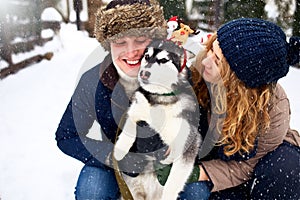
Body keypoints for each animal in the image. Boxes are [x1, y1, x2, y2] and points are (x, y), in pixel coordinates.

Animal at [113, 39, 203, 199]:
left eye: (163, 60)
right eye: (147, 56)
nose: (143, 73)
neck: (160, 99)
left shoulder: (189, 141)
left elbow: (173, 180)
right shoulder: (136, 107)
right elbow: (130, 125)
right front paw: (120, 148)